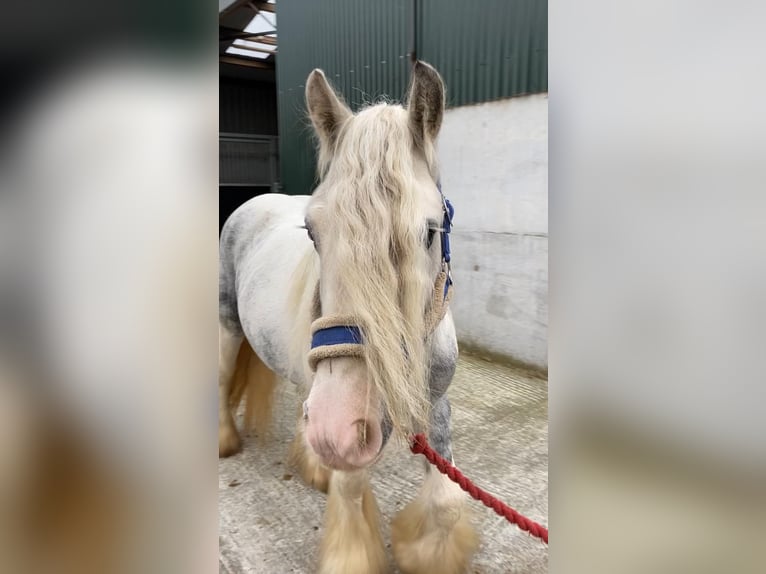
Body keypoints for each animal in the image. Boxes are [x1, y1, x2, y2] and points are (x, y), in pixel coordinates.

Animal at [218, 62, 480, 574]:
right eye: (312, 232)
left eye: (428, 232)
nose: (338, 427)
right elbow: (352, 492)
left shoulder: (437, 403)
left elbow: (445, 499)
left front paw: (427, 554)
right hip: (228, 326)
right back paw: (225, 442)